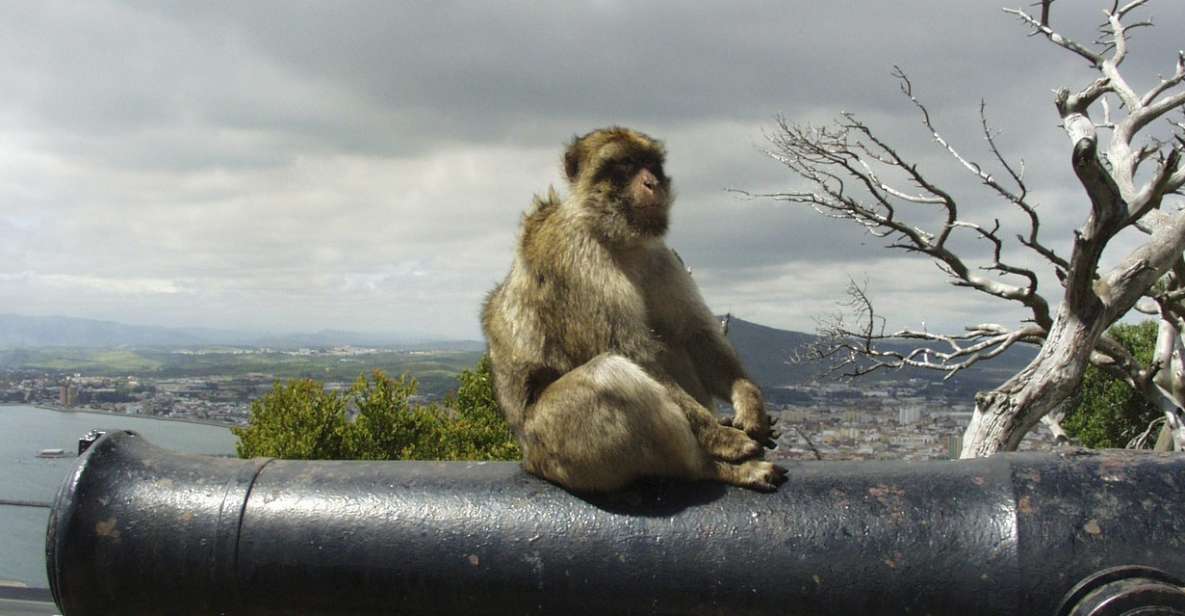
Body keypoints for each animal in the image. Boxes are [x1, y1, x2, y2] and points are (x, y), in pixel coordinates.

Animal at [481, 127, 786, 492]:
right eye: (626, 165)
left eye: (651, 164)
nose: (652, 182)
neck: (616, 237)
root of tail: (529, 460)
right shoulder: (575, 255)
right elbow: (631, 351)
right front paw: (722, 437)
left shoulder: (660, 255)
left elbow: (695, 333)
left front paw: (751, 405)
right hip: (559, 448)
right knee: (608, 376)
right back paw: (714, 467)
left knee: (671, 339)